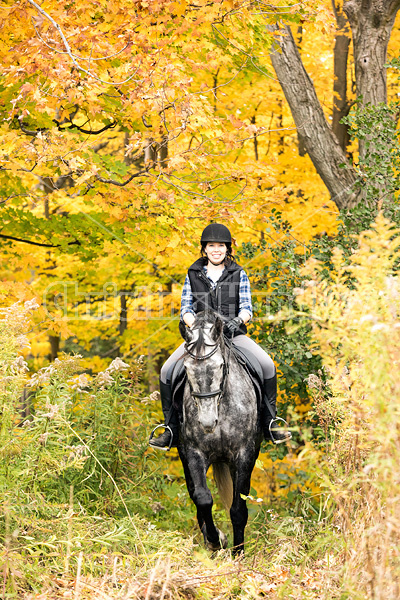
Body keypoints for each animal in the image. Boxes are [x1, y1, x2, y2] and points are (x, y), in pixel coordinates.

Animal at [178, 312, 262, 556]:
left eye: (220, 365)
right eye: (186, 367)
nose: (207, 422)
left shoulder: (244, 455)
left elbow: (238, 508)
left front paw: (239, 551)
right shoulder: (194, 452)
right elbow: (203, 498)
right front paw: (217, 540)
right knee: (195, 494)